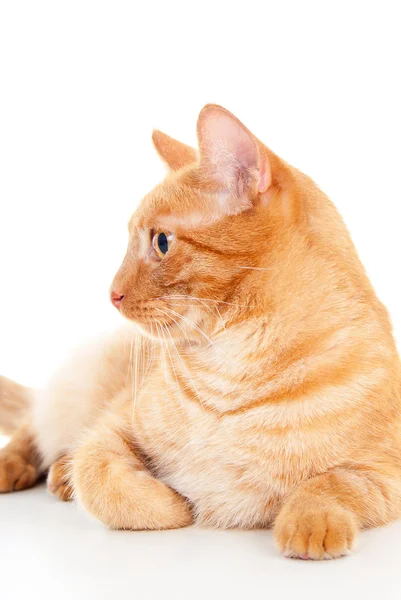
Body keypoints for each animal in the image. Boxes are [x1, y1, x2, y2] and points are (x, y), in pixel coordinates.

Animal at [0, 103, 400, 556]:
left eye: (161, 242)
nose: (111, 293)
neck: (231, 373)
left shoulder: (385, 473)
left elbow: (332, 483)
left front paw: (310, 525)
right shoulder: (112, 426)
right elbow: (100, 476)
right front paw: (173, 504)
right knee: (36, 424)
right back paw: (26, 469)